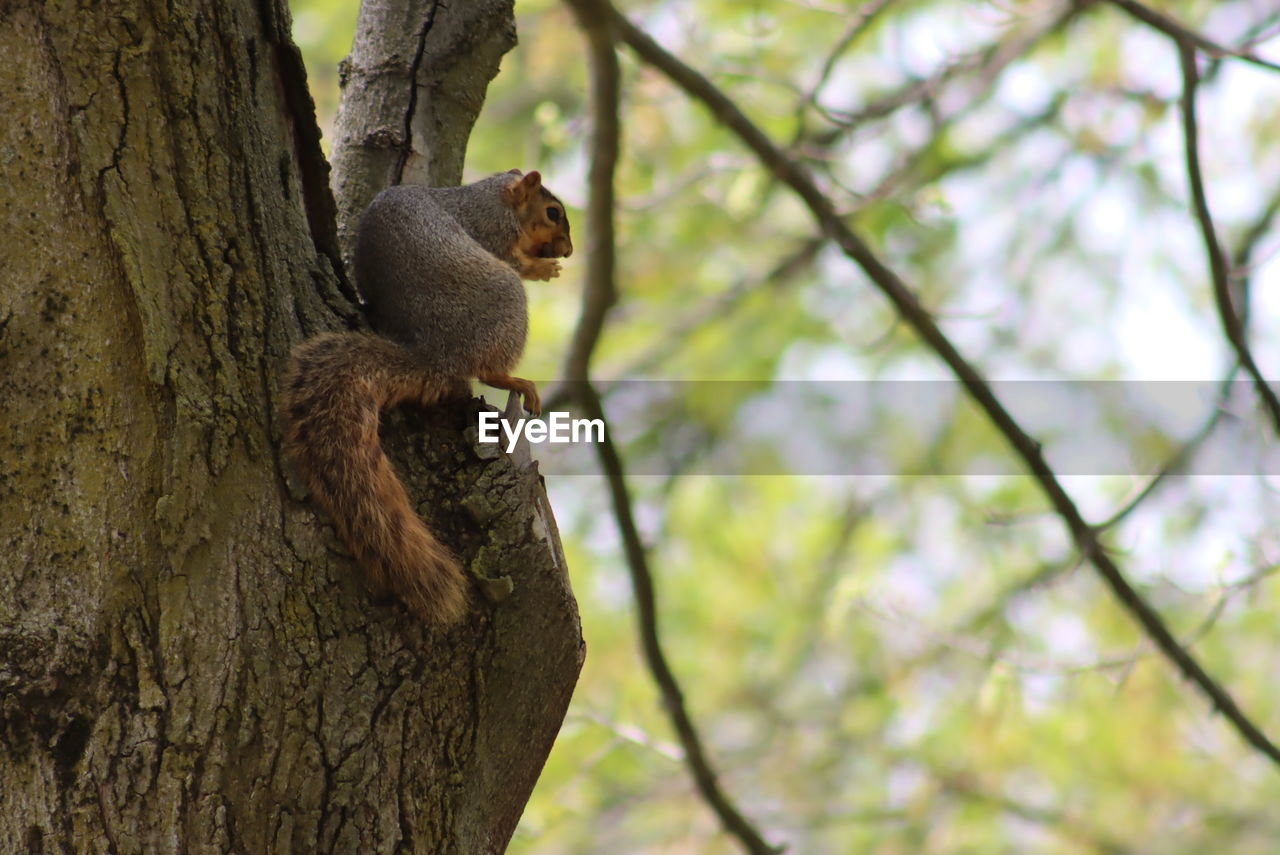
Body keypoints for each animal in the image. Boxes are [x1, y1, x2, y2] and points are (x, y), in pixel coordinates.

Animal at [285, 171, 576, 627]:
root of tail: (438, 355)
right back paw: (515, 379)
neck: (491, 196)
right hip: (506, 298)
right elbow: (516, 262)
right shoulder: (491, 230)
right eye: (552, 213)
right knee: (488, 366)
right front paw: (544, 268)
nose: (568, 250)